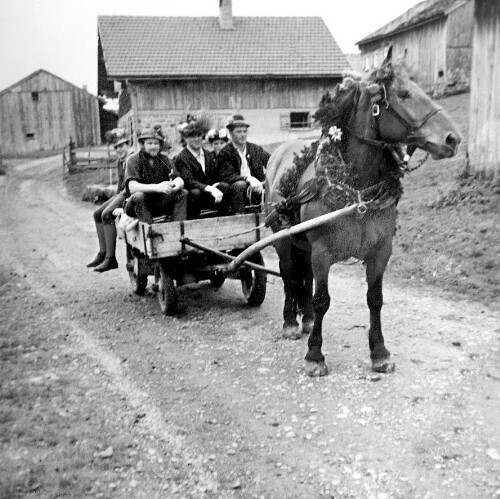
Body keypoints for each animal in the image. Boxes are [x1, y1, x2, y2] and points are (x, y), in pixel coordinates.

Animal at [266, 52, 460, 376]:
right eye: (404, 94)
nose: (452, 139)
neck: (357, 193)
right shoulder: (322, 252)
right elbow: (322, 300)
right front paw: (315, 355)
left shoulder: (381, 251)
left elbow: (375, 299)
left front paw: (379, 352)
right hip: (282, 237)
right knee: (290, 275)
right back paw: (290, 322)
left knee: (302, 275)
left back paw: (305, 319)